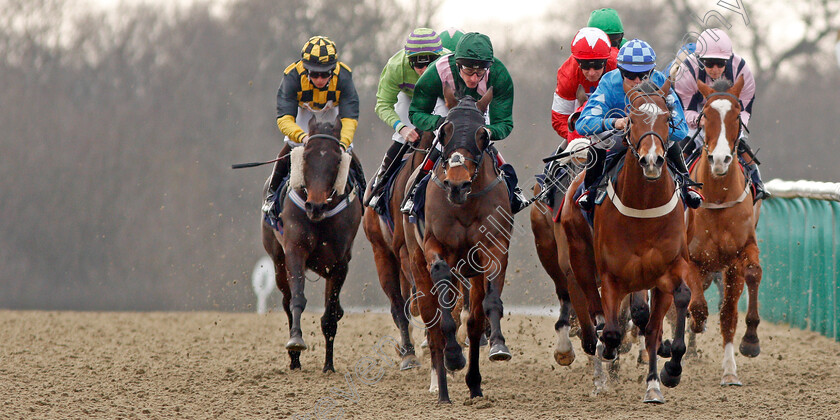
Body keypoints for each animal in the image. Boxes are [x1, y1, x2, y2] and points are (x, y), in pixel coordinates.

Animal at [260, 114, 362, 370]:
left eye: (337, 160)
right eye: (306, 156)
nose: (315, 206)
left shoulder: (339, 264)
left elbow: (330, 315)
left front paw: (329, 366)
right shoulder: (295, 251)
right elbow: (297, 298)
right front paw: (296, 342)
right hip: (278, 263)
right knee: (286, 301)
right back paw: (295, 361)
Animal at [402, 88, 512, 404]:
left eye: (482, 134)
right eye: (444, 130)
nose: (457, 185)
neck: (465, 204)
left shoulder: (494, 247)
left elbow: (488, 305)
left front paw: (498, 345)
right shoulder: (434, 247)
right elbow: (444, 317)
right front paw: (453, 356)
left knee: (473, 324)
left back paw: (474, 385)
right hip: (416, 265)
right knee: (433, 325)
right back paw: (441, 389)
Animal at [560, 79, 704, 404]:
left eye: (667, 118)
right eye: (633, 120)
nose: (652, 161)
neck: (644, 207)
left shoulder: (670, 268)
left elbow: (668, 310)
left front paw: (663, 376)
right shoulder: (611, 275)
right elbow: (612, 330)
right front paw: (611, 350)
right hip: (580, 260)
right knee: (594, 313)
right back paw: (599, 363)